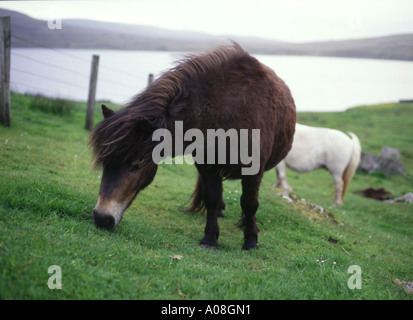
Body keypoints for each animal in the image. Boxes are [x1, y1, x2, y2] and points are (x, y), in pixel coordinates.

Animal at [90, 43, 296, 250]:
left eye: (136, 166)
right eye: (105, 163)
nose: (102, 218)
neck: (226, 110)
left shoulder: (254, 170)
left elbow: (250, 203)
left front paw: (251, 240)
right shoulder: (206, 164)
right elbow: (211, 197)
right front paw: (210, 238)